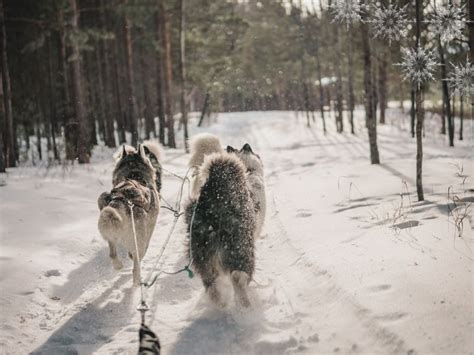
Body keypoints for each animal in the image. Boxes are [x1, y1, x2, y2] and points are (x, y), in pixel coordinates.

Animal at [98, 145, 161, 286]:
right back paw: (137, 281)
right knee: (136, 263)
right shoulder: (151, 226)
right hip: (139, 241)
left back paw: (118, 265)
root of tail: (122, 201)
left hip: (106, 212)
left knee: (112, 254)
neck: (134, 174)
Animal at [185, 148, 262, 308]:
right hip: (242, 250)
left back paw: (220, 303)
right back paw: (244, 305)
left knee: (210, 284)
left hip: (202, 257)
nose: (247, 146)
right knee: (238, 277)